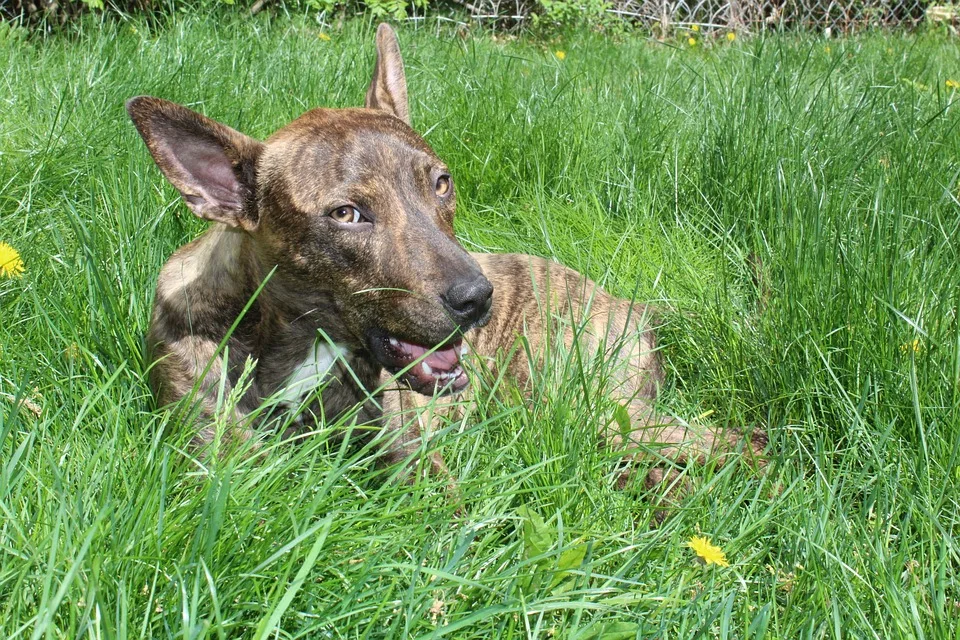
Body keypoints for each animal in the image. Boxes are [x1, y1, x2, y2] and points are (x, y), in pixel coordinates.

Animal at [129, 22, 764, 488]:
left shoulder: (412, 462)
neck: (298, 341)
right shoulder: (220, 466)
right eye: (346, 215)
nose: (477, 299)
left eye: (441, 182)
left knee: (738, 444)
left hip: (597, 407)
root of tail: (630, 304)